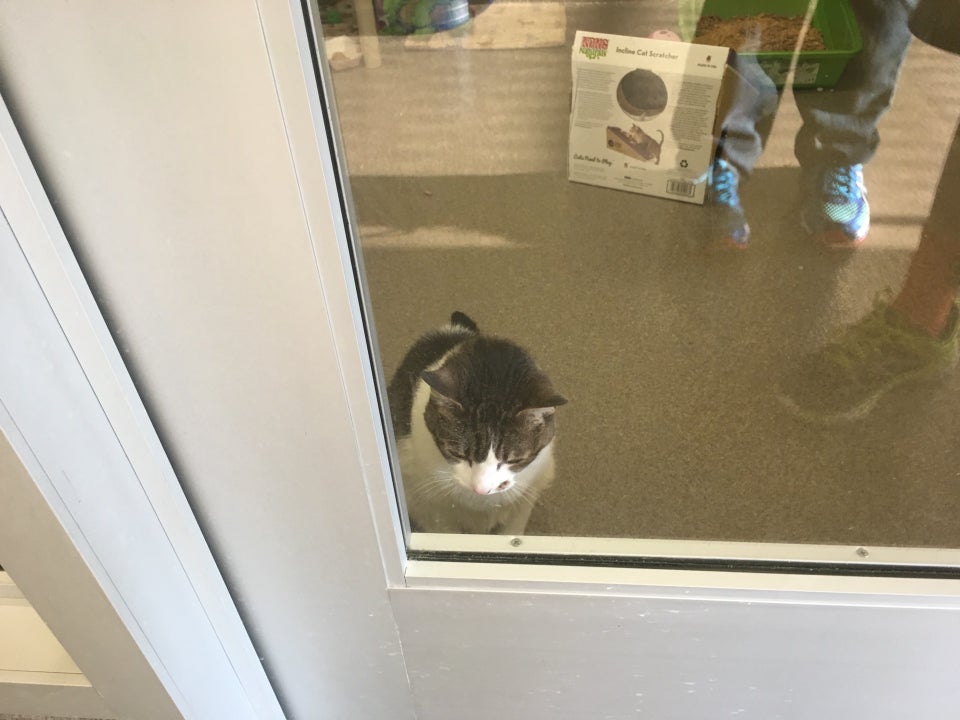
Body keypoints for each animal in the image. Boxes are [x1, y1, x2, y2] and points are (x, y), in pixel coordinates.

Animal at [387, 312, 566, 535]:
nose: (481, 489)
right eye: (457, 454)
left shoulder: (527, 495)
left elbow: (512, 531)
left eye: (515, 459)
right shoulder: (433, 507)